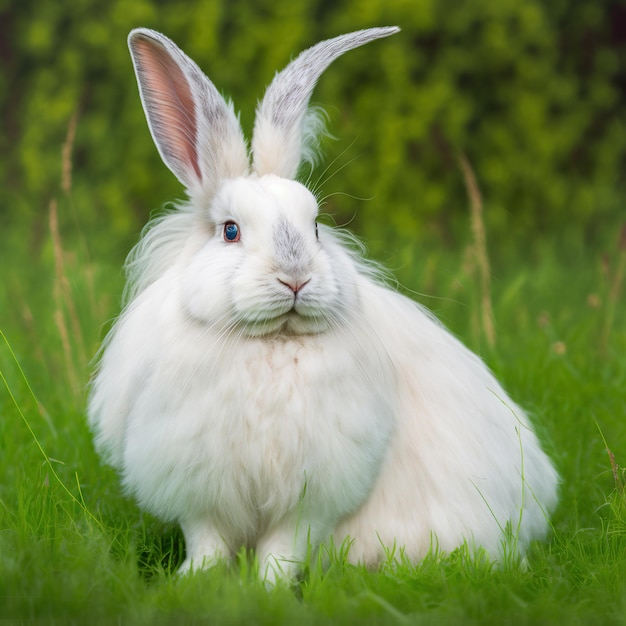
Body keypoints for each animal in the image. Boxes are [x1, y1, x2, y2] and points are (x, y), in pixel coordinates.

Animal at [86, 26, 556, 584]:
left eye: (313, 226)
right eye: (230, 231)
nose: (295, 278)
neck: (269, 342)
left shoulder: (311, 498)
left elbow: (283, 547)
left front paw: (266, 588)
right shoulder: (202, 489)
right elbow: (208, 543)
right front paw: (193, 582)